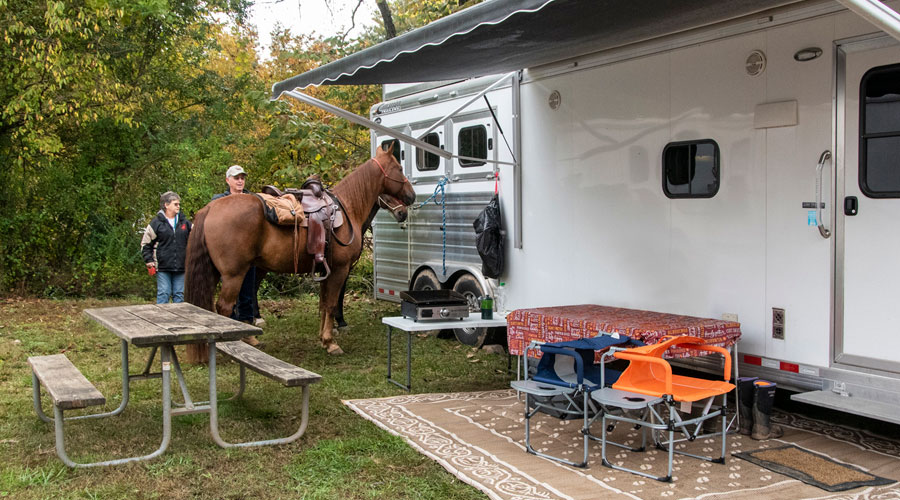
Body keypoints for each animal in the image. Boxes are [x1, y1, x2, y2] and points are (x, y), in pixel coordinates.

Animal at [189, 144, 418, 356]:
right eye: (398, 168)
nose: (411, 197)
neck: (347, 207)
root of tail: (210, 208)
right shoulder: (340, 269)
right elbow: (332, 304)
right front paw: (331, 342)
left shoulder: (327, 269)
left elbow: (324, 303)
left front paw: (324, 338)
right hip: (233, 274)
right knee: (225, 307)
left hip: (218, 272)